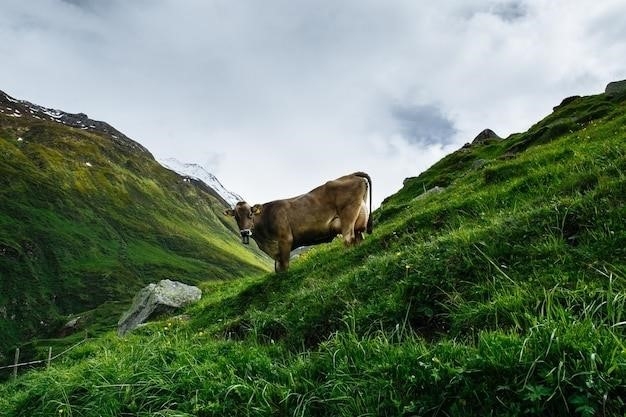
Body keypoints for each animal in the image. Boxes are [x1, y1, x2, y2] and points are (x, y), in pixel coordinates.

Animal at [224, 171, 370, 272]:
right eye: (236, 217)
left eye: (250, 214)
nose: (245, 232)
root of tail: (351, 175)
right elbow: (278, 269)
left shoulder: (285, 240)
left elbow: (284, 267)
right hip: (359, 216)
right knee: (359, 236)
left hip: (348, 215)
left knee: (349, 238)